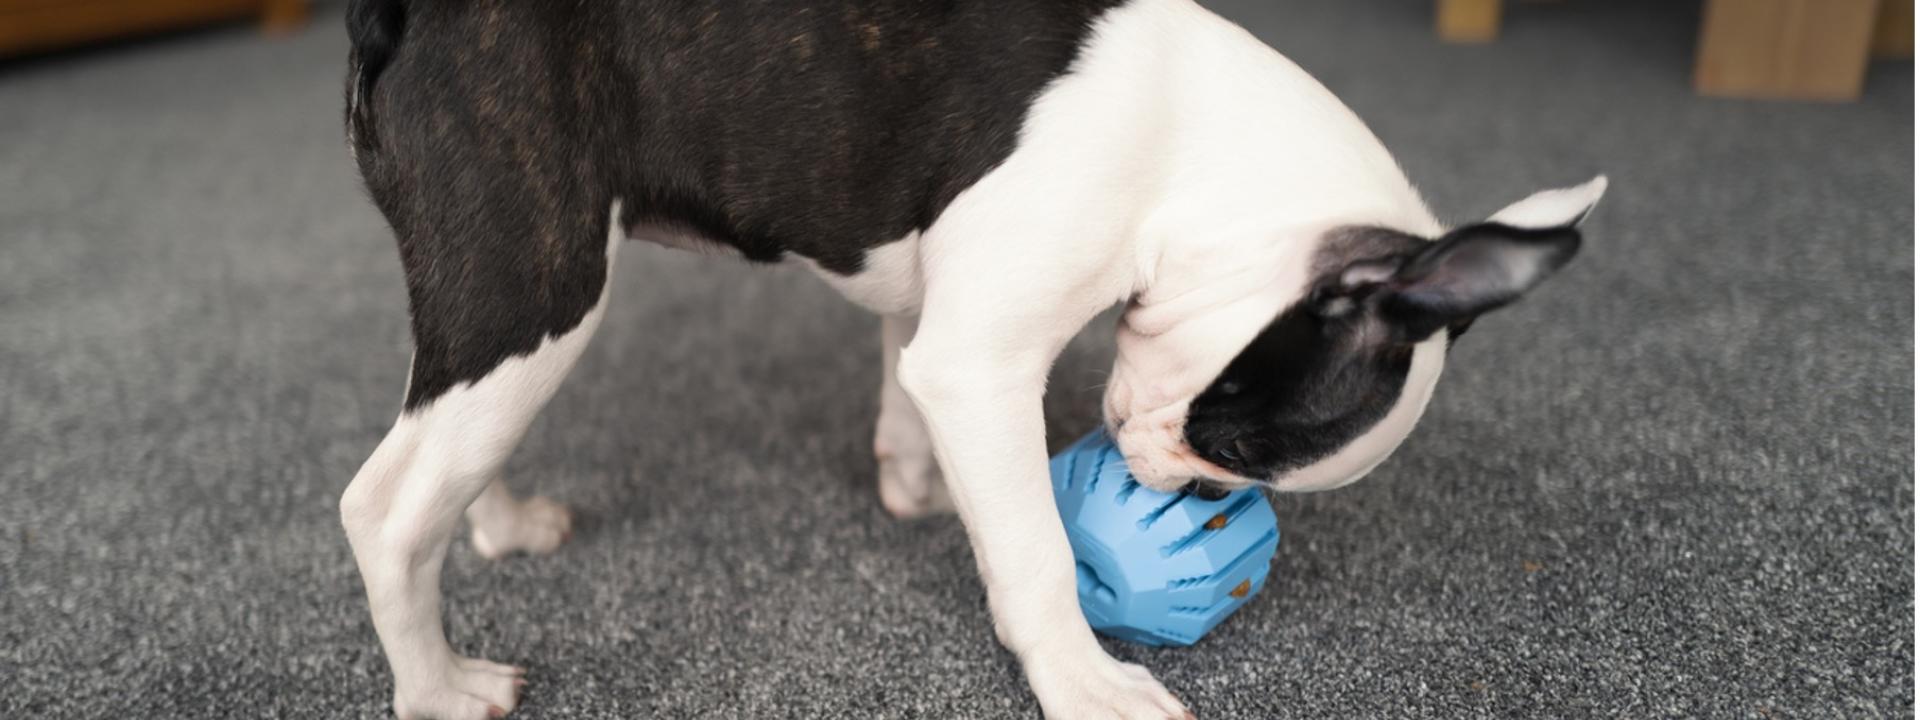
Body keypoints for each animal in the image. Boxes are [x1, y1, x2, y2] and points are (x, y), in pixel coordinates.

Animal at [341, 1, 1605, 720]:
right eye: (1234, 442)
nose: (1177, 484)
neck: (1200, 154)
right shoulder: (980, 359)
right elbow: (1037, 552)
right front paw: (1083, 682)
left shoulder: (941, 326)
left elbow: (909, 385)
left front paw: (921, 485)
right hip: (538, 276)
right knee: (387, 508)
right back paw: (441, 691)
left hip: (490, 302)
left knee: (442, 432)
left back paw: (502, 523)